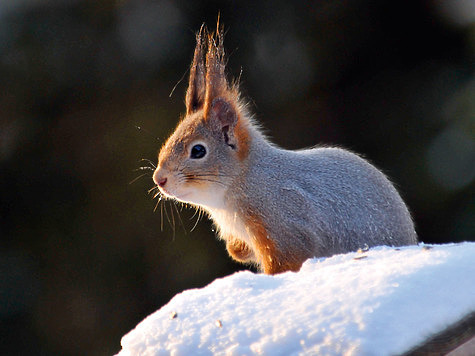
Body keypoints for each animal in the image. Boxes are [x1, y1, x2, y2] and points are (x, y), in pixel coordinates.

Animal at [152, 25, 416, 276]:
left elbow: (289, 258)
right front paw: (237, 250)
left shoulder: (281, 216)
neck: (238, 184)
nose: (159, 179)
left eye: (198, 151)